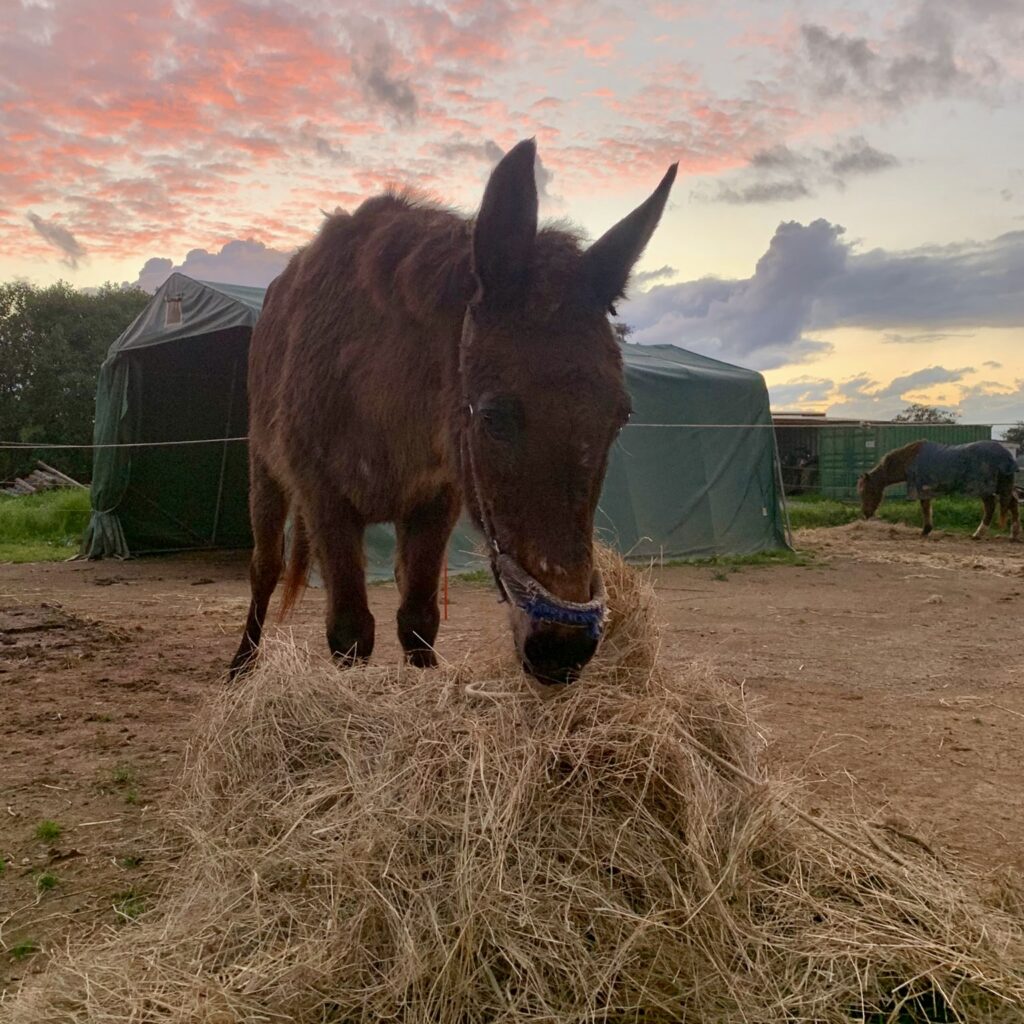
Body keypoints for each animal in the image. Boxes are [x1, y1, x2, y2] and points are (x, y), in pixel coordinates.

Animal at [232, 136, 679, 679]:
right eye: (492, 417)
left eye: (621, 416)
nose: (562, 649)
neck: (380, 392)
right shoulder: (325, 500)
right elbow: (351, 630)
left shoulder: (435, 502)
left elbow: (418, 618)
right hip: (265, 473)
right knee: (265, 568)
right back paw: (241, 665)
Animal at [860, 438, 1019, 544]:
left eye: (867, 491)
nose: (866, 514)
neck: (910, 460)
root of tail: (1006, 455)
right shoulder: (925, 489)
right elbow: (927, 508)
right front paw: (927, 530)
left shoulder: (922, 489)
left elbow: (925, 508)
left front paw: (925, 531)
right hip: (1001, 487)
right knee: (1012, 503)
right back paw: (1013, 535)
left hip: (985, 489)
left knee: (990, 507)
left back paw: (978, 534)